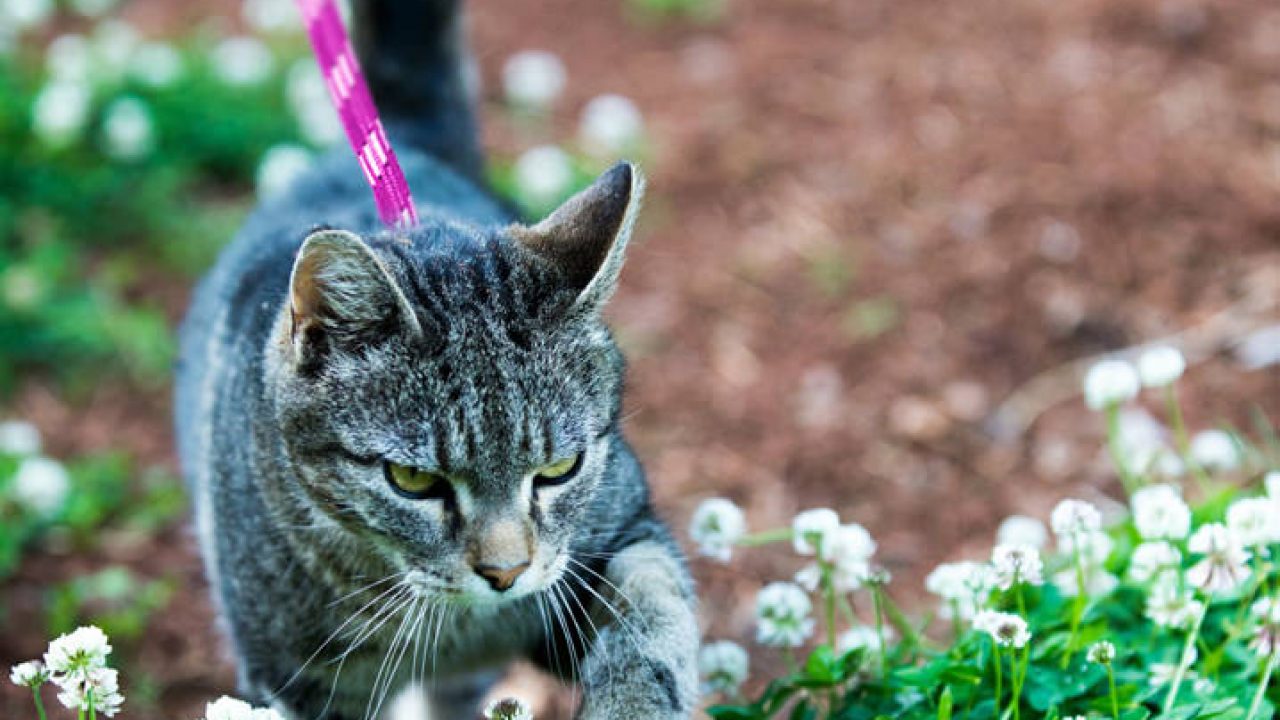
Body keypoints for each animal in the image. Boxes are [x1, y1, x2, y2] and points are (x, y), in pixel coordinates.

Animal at [172, 0, 701, 712]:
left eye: (559, 468)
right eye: (413, 481)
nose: (505, 572)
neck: (460, 627)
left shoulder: (621, 536)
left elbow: (651, 611)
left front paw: (633, 703)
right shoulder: (289, 679)